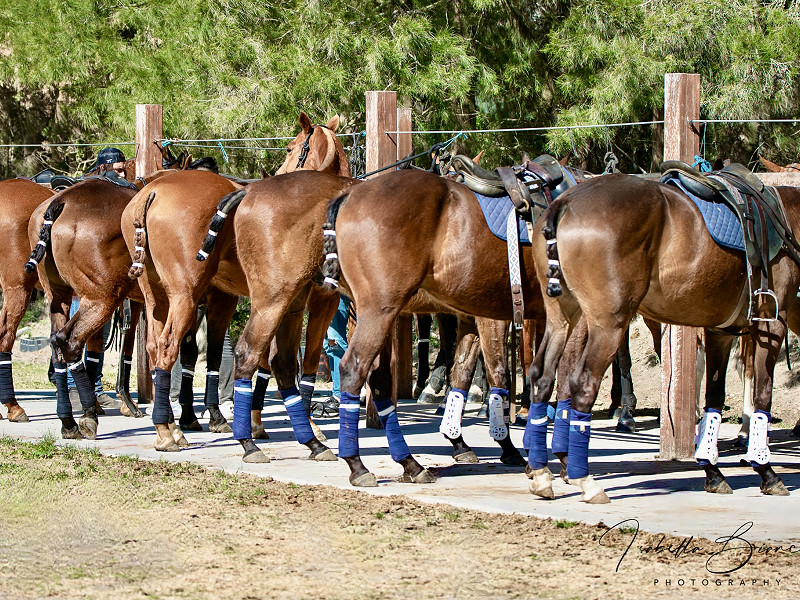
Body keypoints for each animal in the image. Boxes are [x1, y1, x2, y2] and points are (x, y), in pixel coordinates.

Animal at [123, 113, 351, 454]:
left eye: (290, 148)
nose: (277, 177)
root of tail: (152, 194)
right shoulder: (315, 299)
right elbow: (293, 359)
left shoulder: (253, 300)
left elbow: (257, 359)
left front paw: (254, 421)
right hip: (186, 297)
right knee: (167, 347)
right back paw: (168, 429)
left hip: (158, 298)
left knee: (156, 347)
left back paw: (170, 426)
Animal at [529, 171, 800, 503]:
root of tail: (564, 203)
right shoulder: (771, 327)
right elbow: (763, 396)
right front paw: (766, 470)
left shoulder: (720, 332)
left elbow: (714, 397)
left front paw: (712, 470)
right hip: (608, 325)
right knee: (582, 384)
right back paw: (586, 480)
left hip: (562, 317)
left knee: (542, 377)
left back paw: (542, 474)